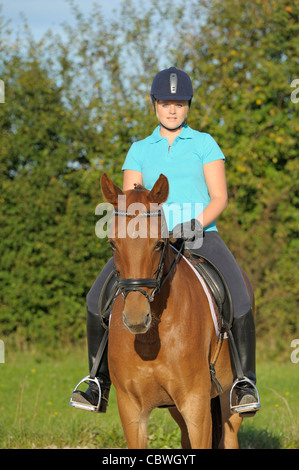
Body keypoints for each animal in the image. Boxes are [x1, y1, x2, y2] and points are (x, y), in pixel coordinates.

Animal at [102, 173, 245, 448]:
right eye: (112, 244)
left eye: (159, 244)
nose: (136, 318)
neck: (151, 341)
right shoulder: (131, 408)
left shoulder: (196, 405)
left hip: (227, 401)